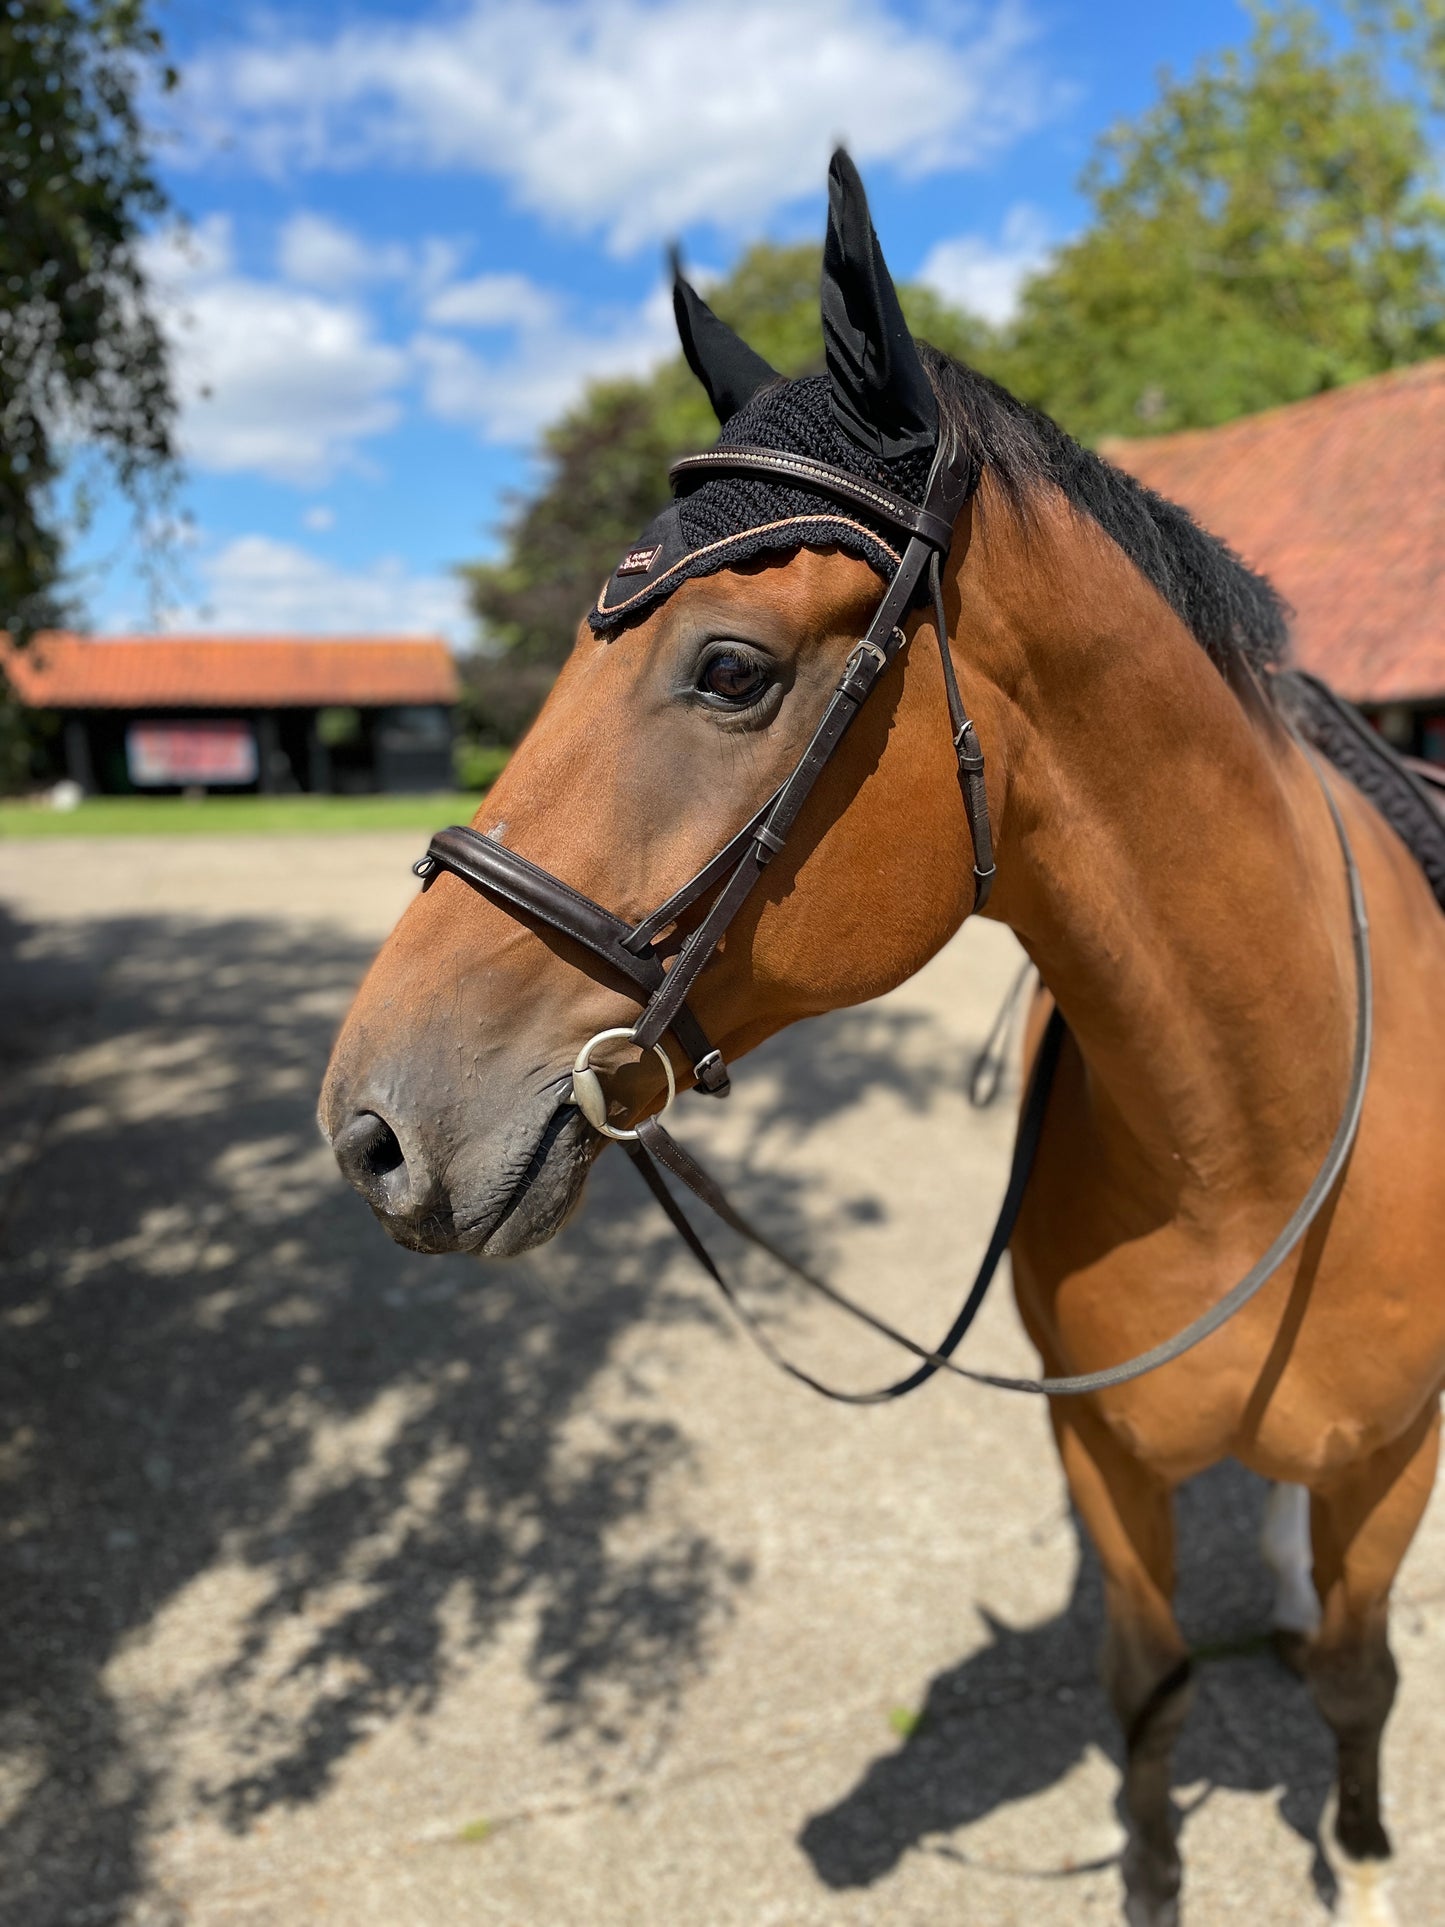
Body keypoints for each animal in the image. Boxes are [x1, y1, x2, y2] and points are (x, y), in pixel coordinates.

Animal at [321, 154, 1441, 1927]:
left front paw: (1366, 1859)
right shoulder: (1101, 1452)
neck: (1254, 1133)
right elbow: (1148, 1694)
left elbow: (1356, 1678)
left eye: (729, 666)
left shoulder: (1396, 1459)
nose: (372, 1123)